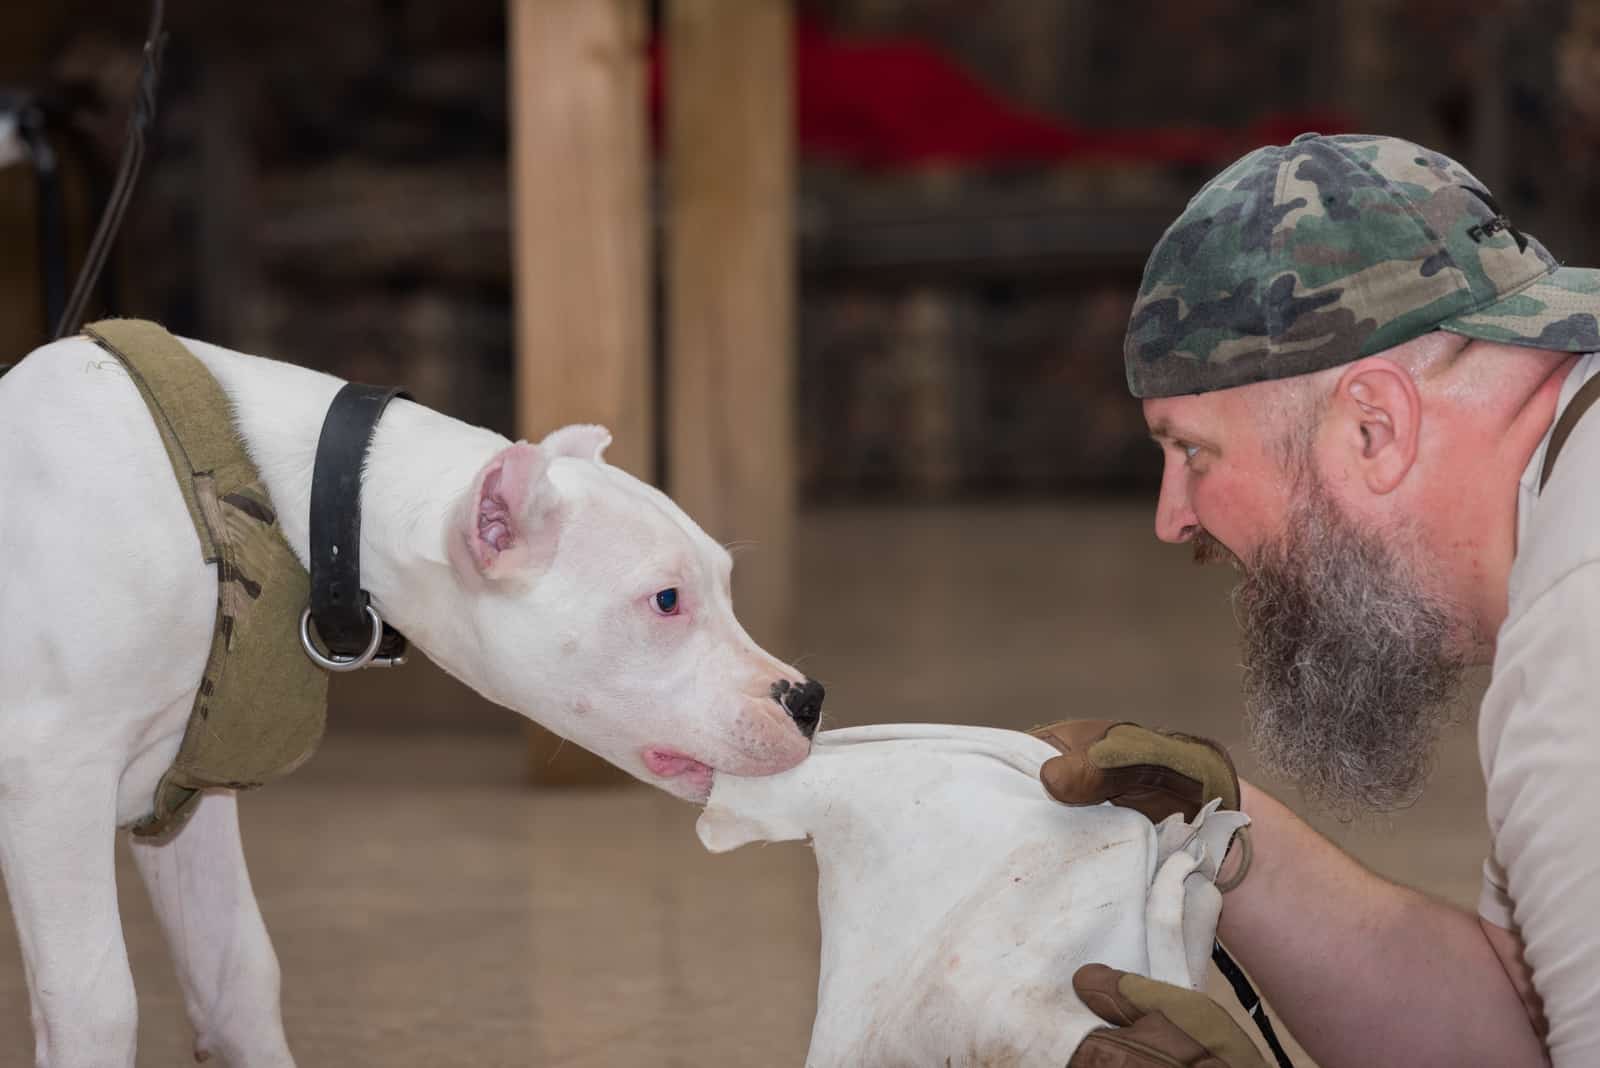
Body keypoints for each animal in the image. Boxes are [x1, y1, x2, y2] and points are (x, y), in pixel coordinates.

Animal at [0, 329, 825, 1061]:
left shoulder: (184, 789)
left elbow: (237, 979)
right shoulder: (52, 786)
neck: (305, 503)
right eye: (666, 601)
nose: (808, 698)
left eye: (723, 582)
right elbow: (98, 1005)